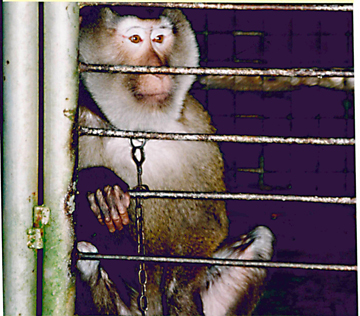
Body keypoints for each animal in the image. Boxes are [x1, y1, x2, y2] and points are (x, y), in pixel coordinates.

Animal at [75, 7, 272, 316]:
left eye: (159, 39)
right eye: (135, 39)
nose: (159, 69)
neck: (139, 131)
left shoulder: (196, 124)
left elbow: (209, 220)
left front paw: (182, 294)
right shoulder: (81, 123)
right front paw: (101, 188)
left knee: (261, 239)